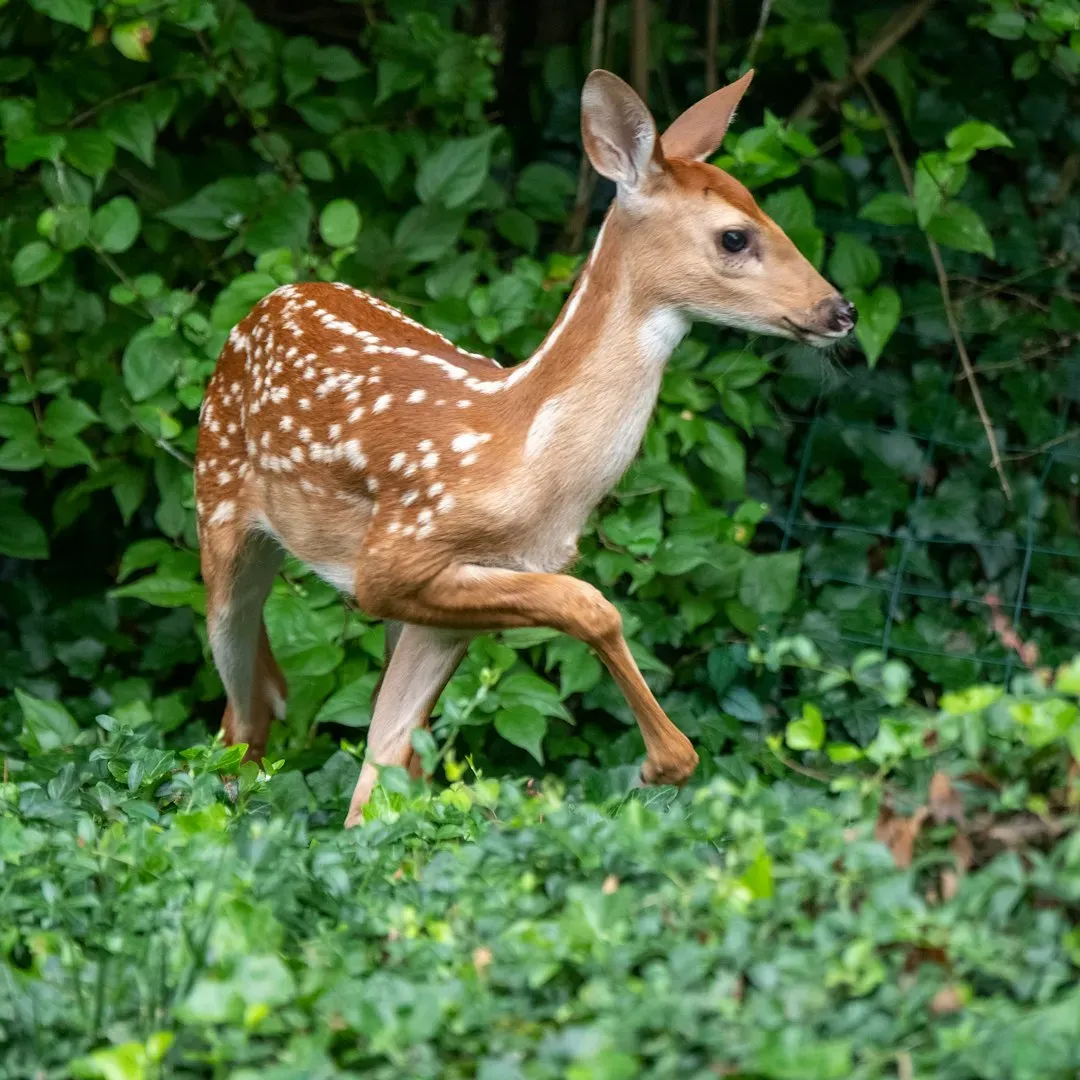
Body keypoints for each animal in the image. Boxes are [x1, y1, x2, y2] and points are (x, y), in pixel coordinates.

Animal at [194, 69, 856, 827]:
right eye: (736, 236)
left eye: (765, 212)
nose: (840, 310)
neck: (527, 456)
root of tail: (265, 301)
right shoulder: (392, 560)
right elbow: (592, 604)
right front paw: (664, 761)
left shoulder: (450, 607)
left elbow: (382, 767)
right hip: (219, 513)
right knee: (242, 707)